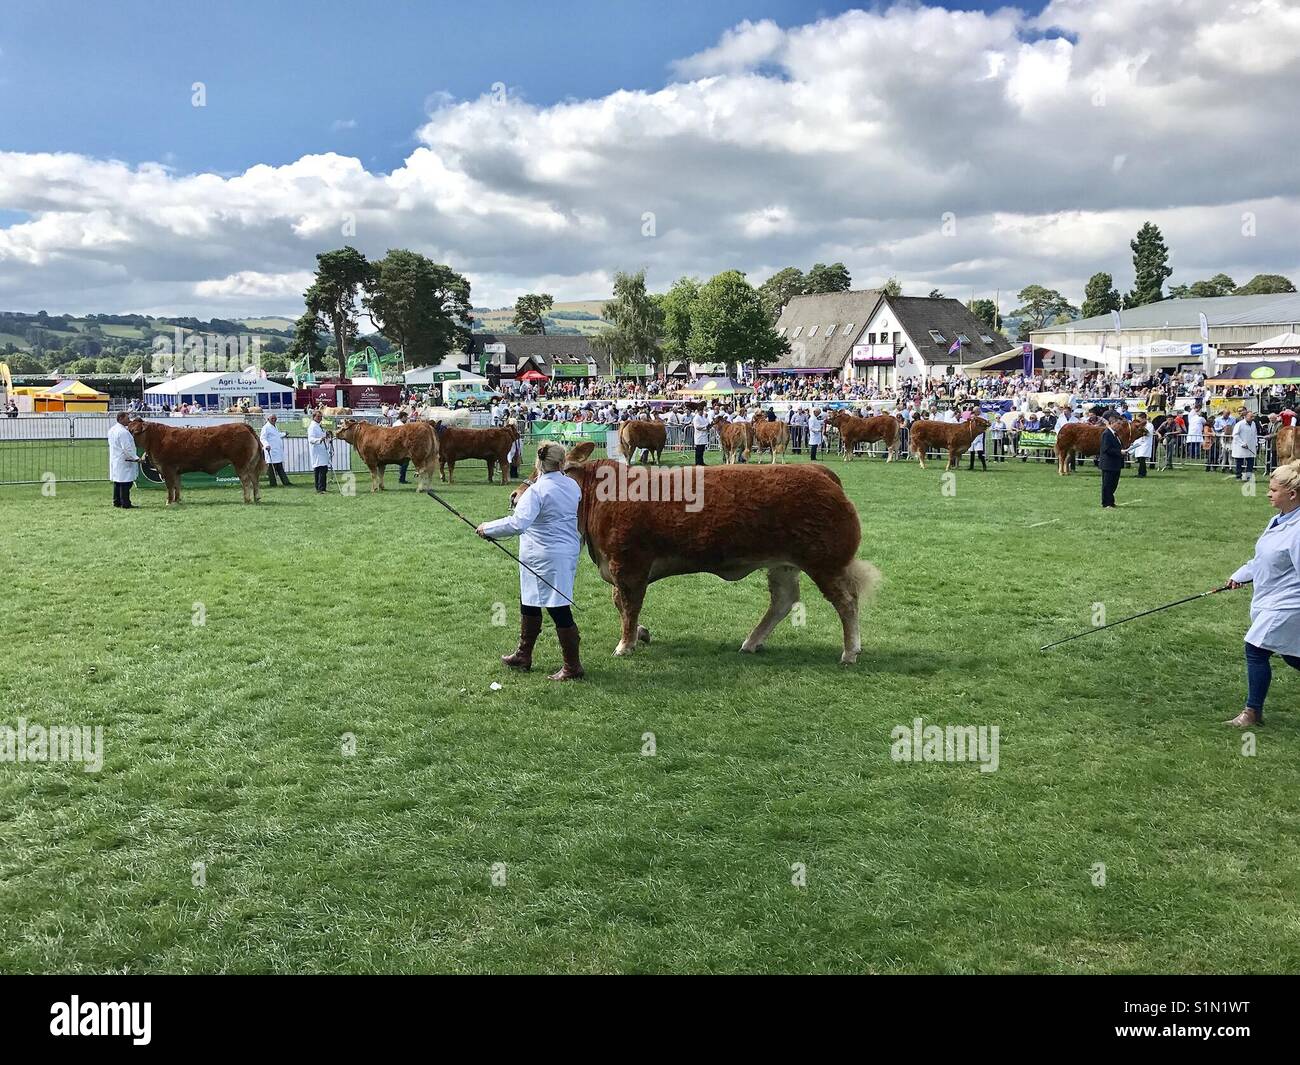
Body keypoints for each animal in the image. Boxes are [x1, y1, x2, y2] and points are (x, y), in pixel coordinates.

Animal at [128, 418, 267, 507]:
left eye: (133, 430)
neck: (156, 439)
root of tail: (242, 425)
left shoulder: (167, 468)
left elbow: (170, 487)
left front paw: (168, 502)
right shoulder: (176, 471)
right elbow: (177, 486)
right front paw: (177, 500)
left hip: (241, 463)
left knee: (246, 481)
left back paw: (247, 499)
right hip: (251, 464)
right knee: (255, 480)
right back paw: (257, 498)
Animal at [512, 444, 878, 663]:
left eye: (539, 474)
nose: (514, 496)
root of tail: (819, 471)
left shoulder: (629, 566)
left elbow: (628, 605)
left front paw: (625, 644)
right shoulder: (622, 569)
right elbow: (622, 605)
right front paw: (641, 634)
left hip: (825, 562)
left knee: (846, 601)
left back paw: (850, 651)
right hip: (783, 564)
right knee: (784, 601)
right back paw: (752, 641)